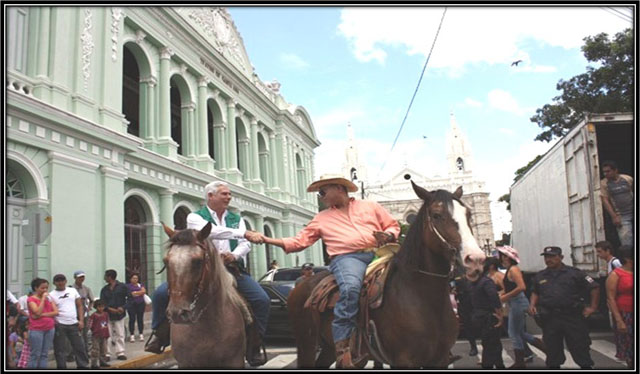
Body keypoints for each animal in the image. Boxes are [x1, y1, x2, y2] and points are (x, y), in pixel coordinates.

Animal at [288, 180, 482, 368]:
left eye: (468, 215)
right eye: (436, 215)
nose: (475, 258)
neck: (425, 298)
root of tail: (301, 285)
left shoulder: (438, 360)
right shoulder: (404, 361)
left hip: (328, 348)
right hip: (307, 343)